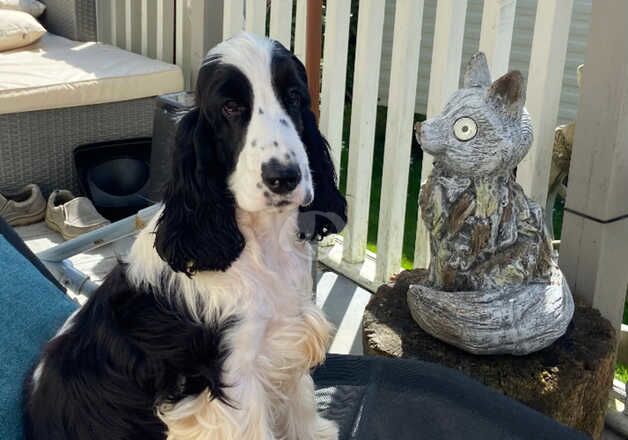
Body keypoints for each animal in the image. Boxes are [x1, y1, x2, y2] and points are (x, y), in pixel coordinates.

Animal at [24, 32, 346, 438]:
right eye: (230, 107)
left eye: (293, 96)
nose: (284, 177)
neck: (258, 243)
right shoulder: (233, 376)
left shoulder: (289, 337)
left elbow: (300, 400)